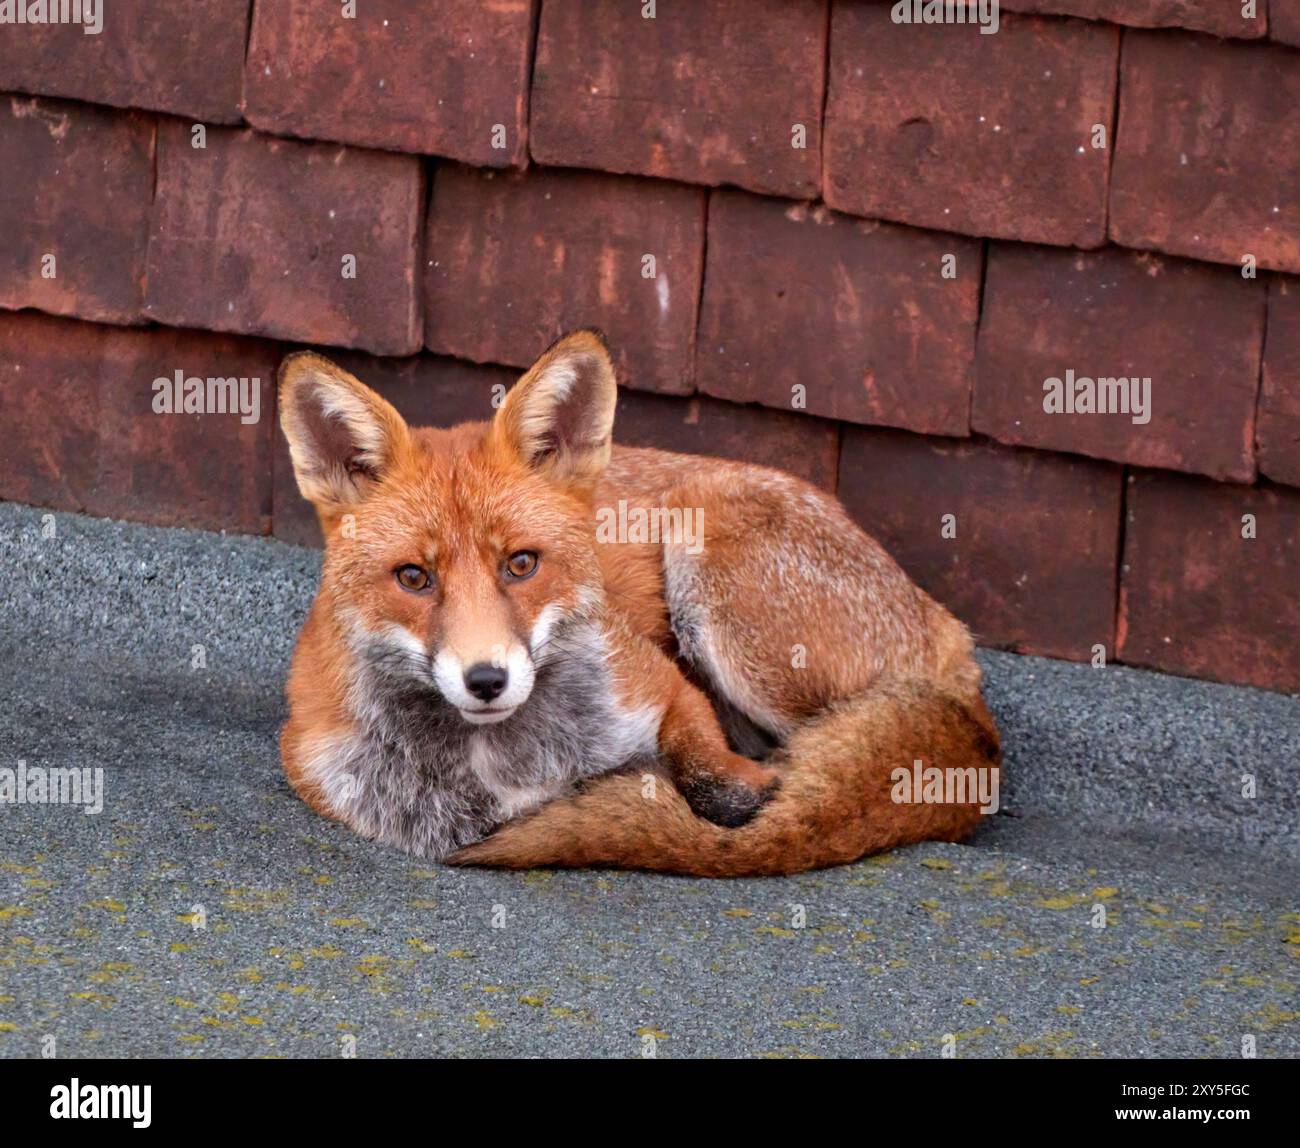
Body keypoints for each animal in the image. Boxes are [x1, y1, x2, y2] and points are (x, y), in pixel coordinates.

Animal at [277, 330, 1001, 877]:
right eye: (414, 578)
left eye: (521, 565)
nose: (487, 679)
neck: (500, 765)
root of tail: (946, 631)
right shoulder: (319, 771)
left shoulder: (661, 685)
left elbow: (725, 787)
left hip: (713, 562)